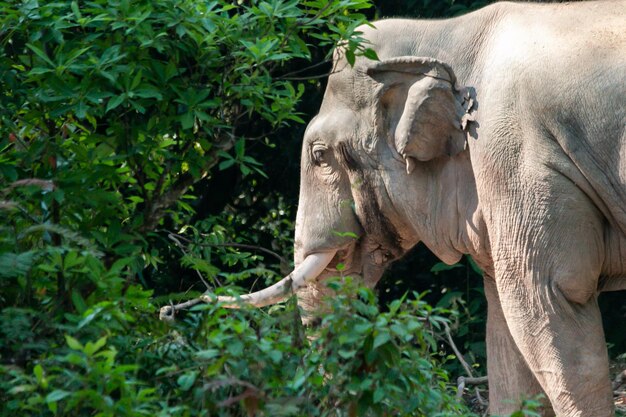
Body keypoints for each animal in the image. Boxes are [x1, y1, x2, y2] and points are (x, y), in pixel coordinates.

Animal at [162, 1, 624, 414]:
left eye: (319, 156)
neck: (449, 34)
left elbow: (549, 297)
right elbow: (506, 335)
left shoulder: (519, 156)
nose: (170, 309)